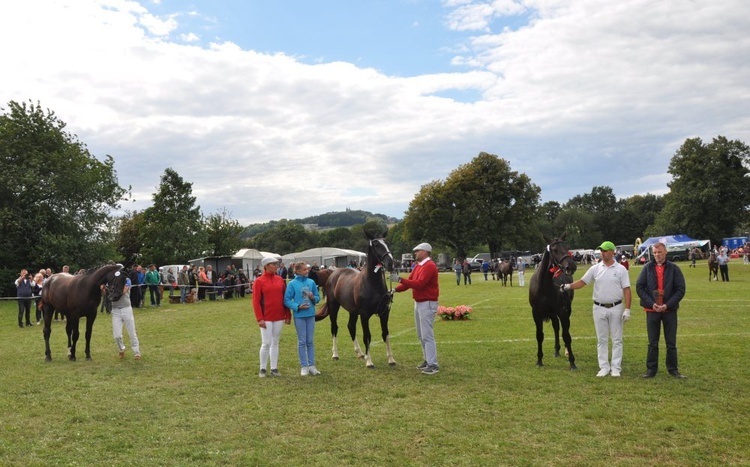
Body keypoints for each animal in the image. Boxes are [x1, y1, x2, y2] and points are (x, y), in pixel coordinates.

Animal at [318, 228, 400, 370]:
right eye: (376, 244)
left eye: (386, 243)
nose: (391, 263)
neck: (372, 284)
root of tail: (333, 274)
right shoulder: (364, 315)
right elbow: (367, 336)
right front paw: (369, 361)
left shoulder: (384, 313)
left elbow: (385, 334)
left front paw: (390, 359)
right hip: (334, 306)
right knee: (334, 327)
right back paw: (335, 354)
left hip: (353, 311)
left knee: (351, 326)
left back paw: (360, 353)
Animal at [528, 236, 580, 372]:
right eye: (555, 250)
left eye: (567, 247)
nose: (571, 266)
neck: (544, 286)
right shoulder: (536, 313)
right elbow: (539, 335)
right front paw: (539, 360)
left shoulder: (562, 310)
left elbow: (566, 335)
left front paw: (572, 362)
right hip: (552, 313)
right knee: (556, 327)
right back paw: (556, 350)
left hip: (566, 310)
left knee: (564, 328)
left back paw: (565, 351)